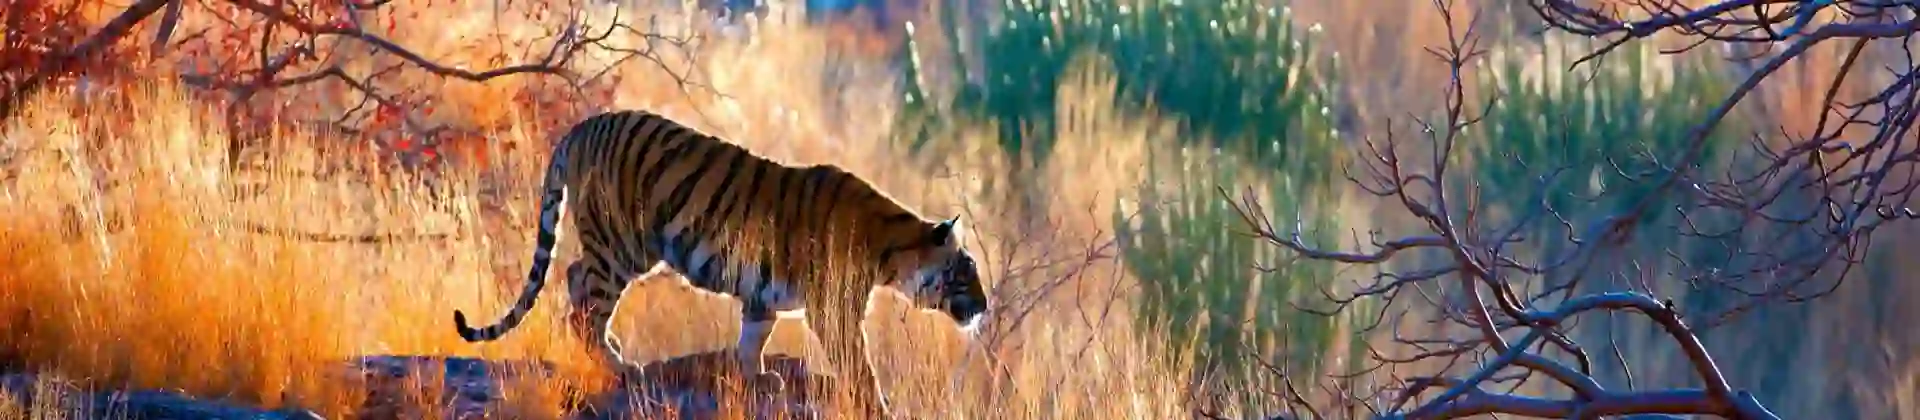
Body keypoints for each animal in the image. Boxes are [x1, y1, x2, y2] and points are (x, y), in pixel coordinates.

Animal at [451, 109, 989, 417]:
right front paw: (876, 404)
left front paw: (757, 378)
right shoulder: (834, 311)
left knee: (573, 278)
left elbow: (753, 339)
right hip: (622, 244)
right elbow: (858, 364)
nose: (985, 307)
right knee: (584, 297)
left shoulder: (762, 297)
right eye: (964, 273)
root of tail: (582, 128)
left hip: (619, 246)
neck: (892, 251)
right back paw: (622, 363)